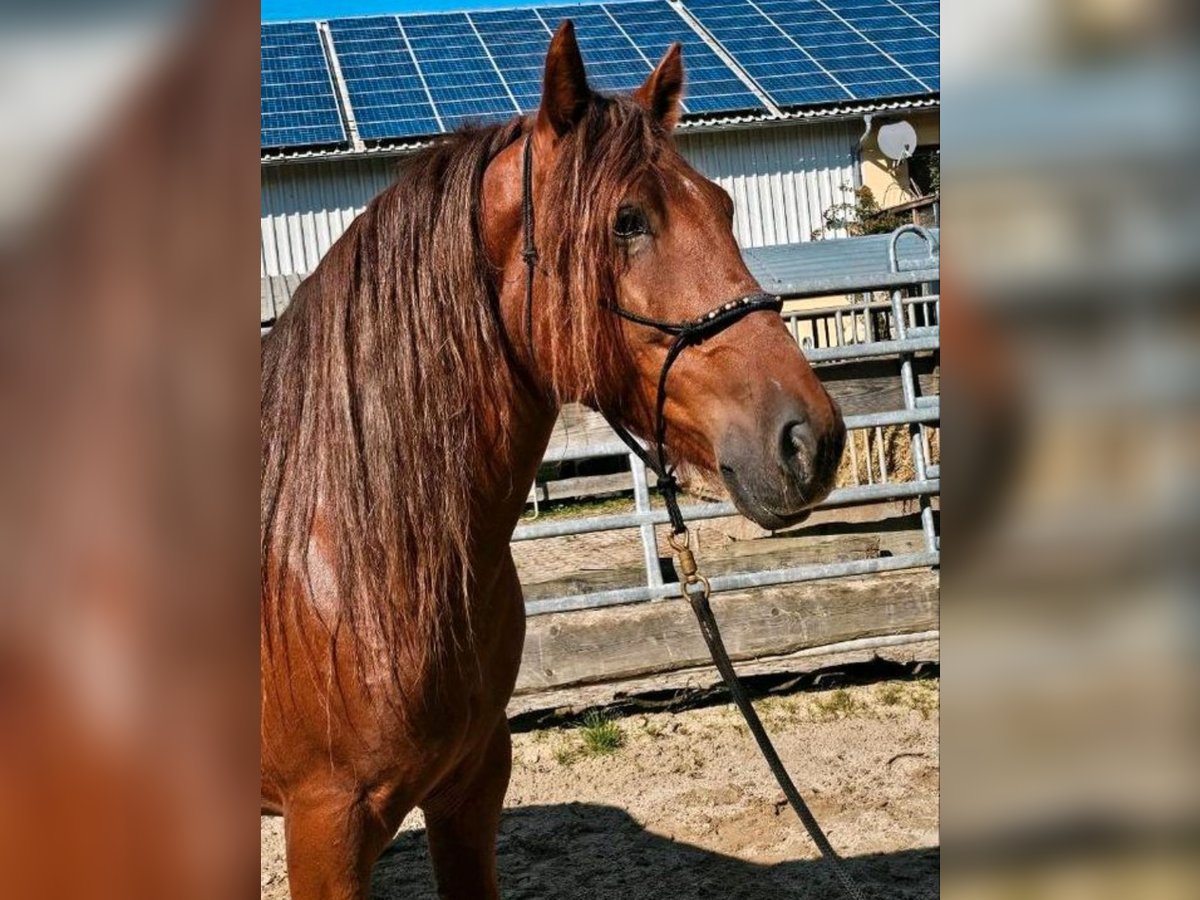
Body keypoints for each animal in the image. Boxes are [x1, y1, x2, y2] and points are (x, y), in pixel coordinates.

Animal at [260, 21, 844, 900]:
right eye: (627, 221)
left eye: (724, 205)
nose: (811, 440)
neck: (357, 550)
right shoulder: (326, 827)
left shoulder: (471, 792)